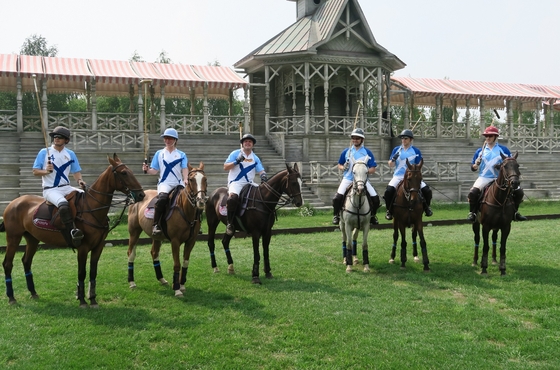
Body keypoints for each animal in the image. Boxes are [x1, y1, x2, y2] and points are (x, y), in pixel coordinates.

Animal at [0, 153, 144, 306]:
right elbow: (81, 272)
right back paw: (11, 298)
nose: (142, 195)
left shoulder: (98, 246)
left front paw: (93, 299)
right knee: (7, 264)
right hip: (13, 237)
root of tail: (12, 203)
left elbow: (93, 272)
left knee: (26, 261)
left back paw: (33, 293)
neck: (92, 209)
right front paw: (82, 300)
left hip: (32, 238)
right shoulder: (83, 247)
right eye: (124, 173)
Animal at [127, 162, 208, 298]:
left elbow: (185, 262)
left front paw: (182, 285)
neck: (185, 209)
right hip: (134, 232)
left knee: (154, 253)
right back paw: (132, 282)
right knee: (131, 253)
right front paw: (177, 289)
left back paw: (161, 279)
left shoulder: (191, 241)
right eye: (191, 180)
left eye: (205, 179)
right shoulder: (175, 241)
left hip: (156, 236)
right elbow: (177, 264)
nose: (201, 201)